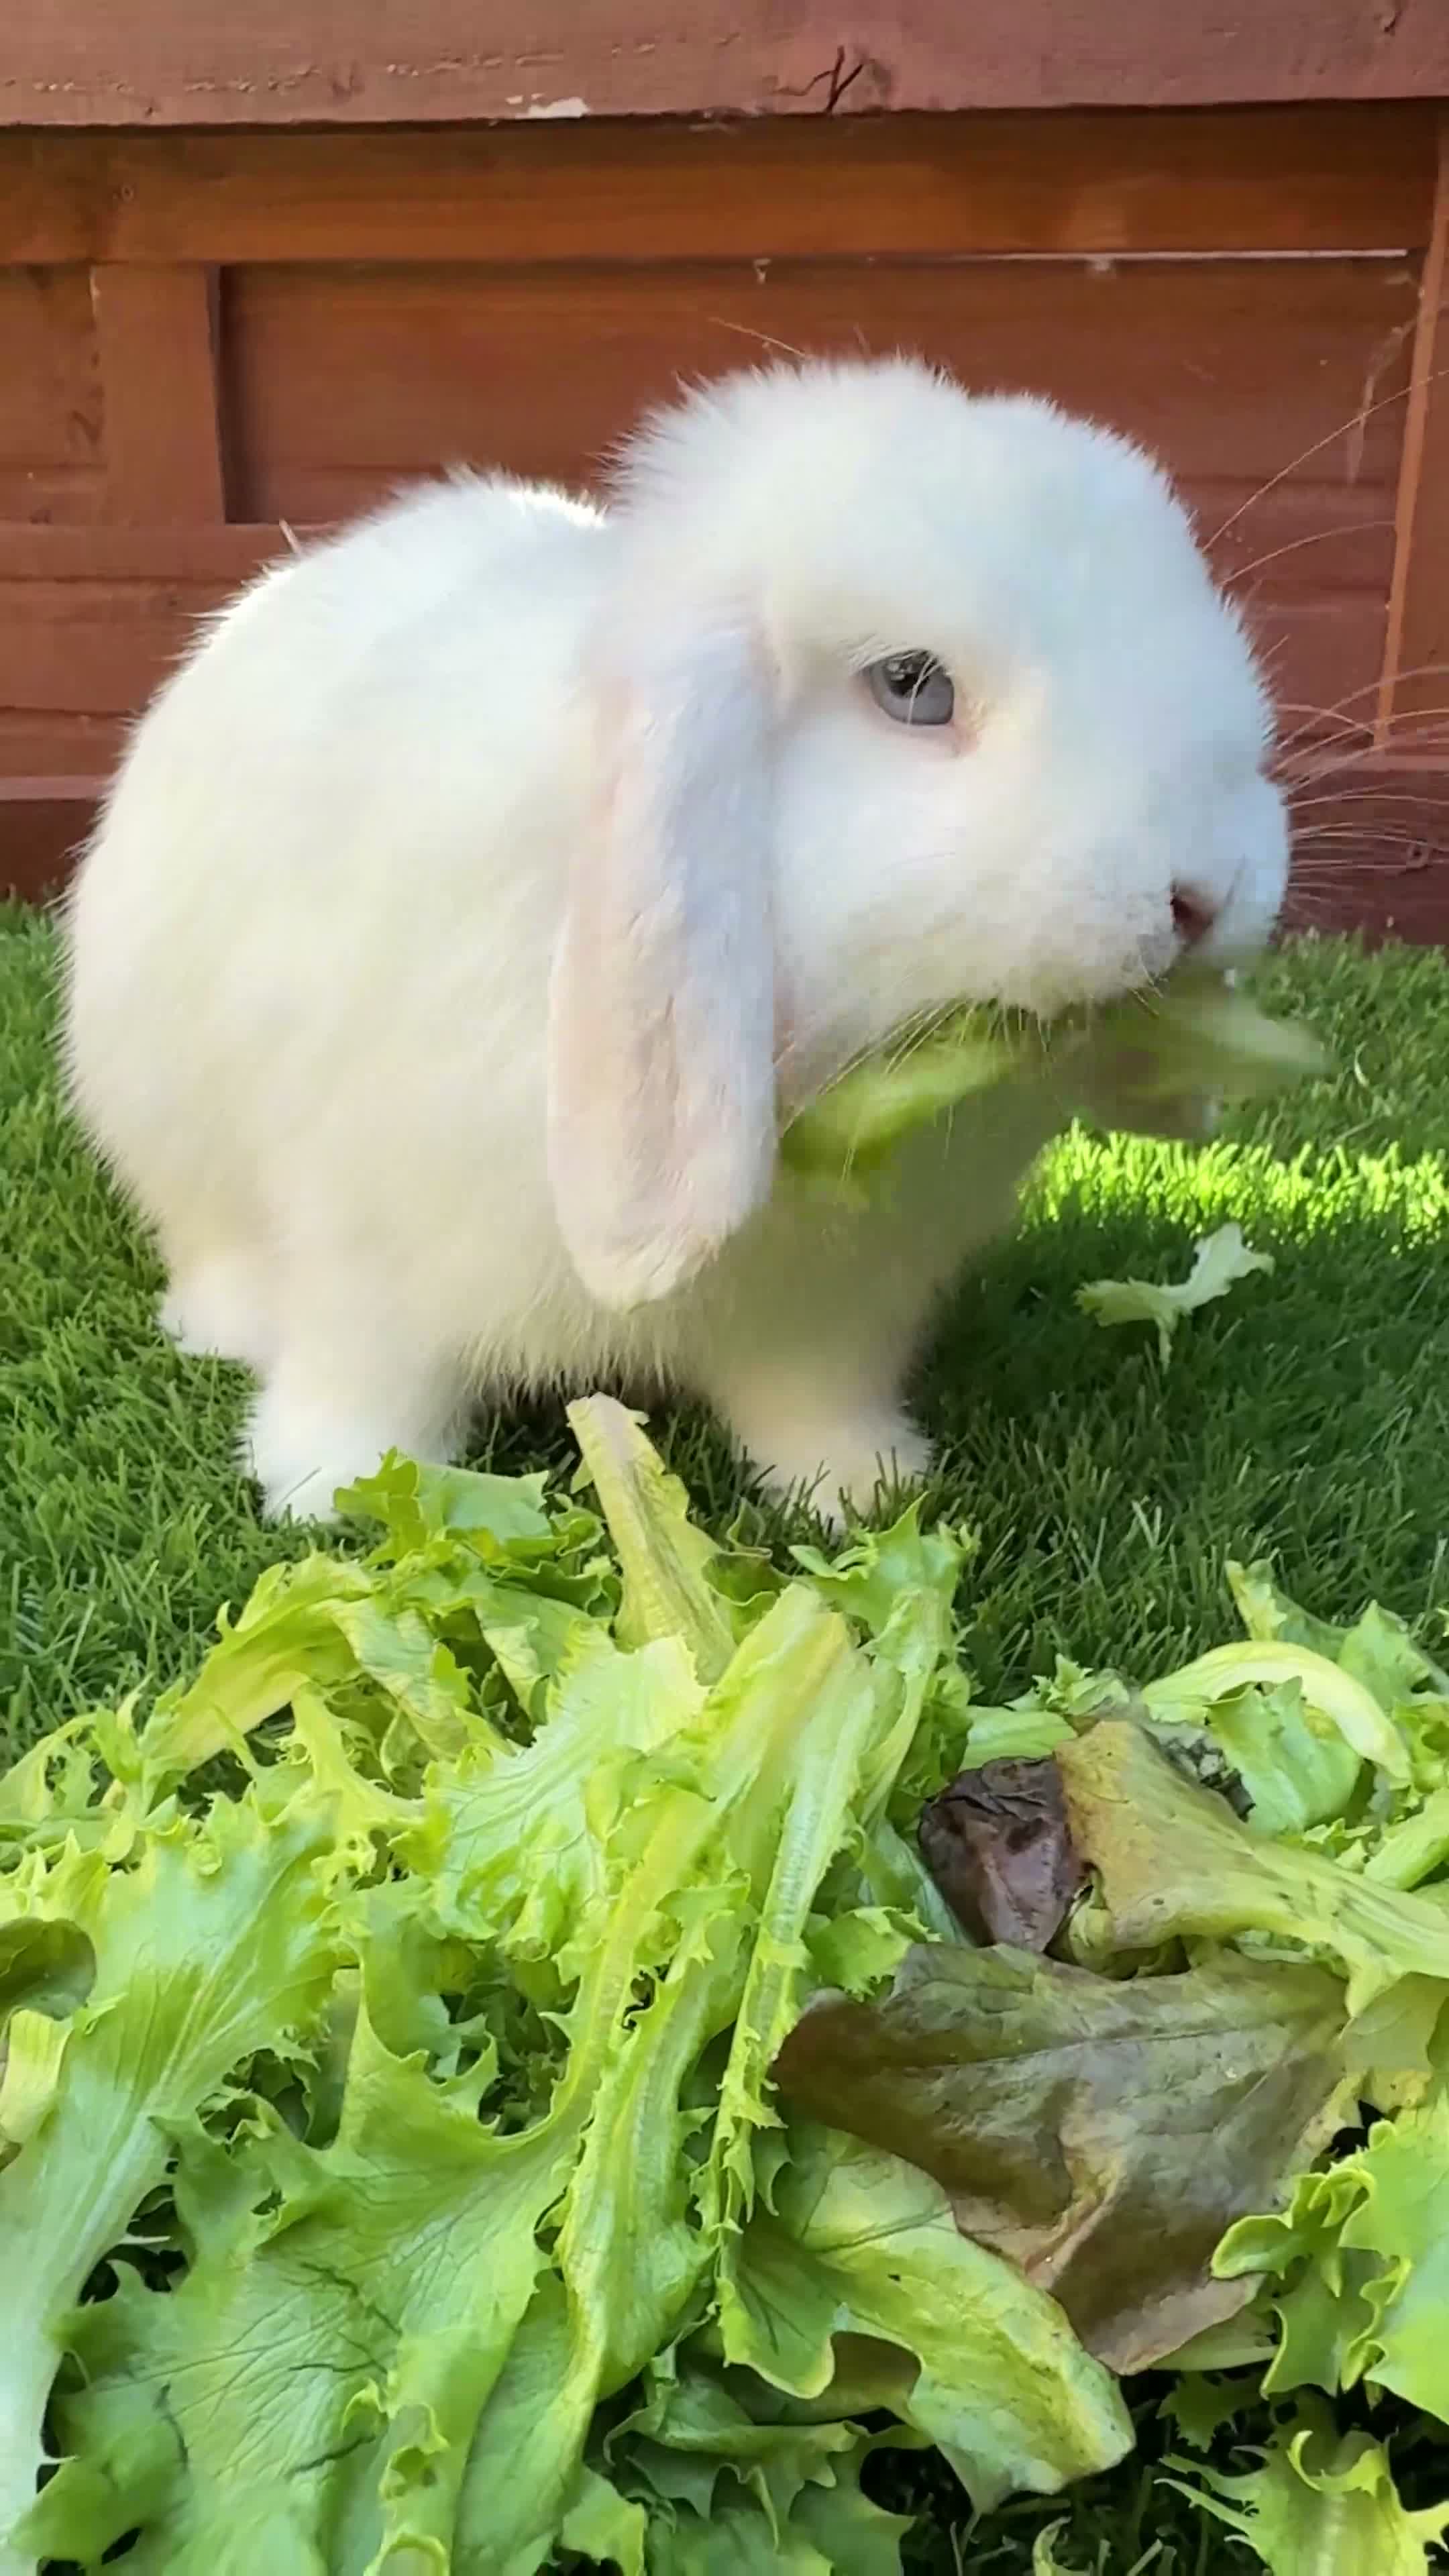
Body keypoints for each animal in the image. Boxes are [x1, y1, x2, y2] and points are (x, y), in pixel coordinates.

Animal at [62, 355, 1289, 1525]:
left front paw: (862, 1488)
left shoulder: (837, 1314)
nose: (1205, 889)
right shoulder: (359, 1242)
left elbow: (811, 1399)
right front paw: (335, 1487)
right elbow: (368, 1376)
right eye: (912, 686)